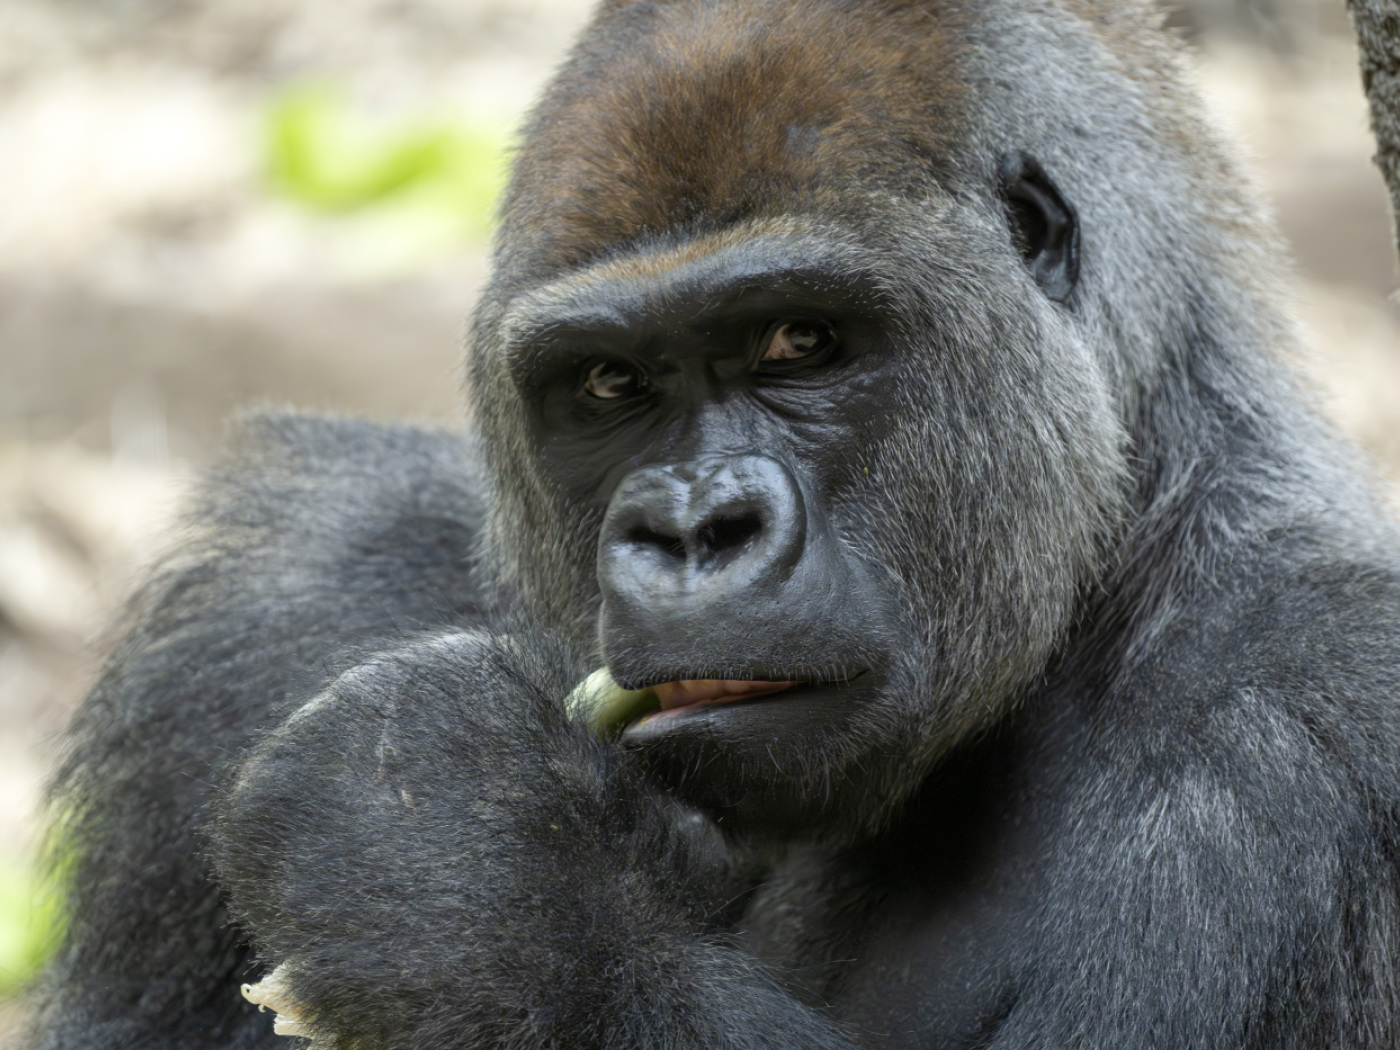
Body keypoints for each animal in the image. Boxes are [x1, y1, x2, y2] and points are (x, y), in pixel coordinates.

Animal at [26, 0, 1400, 1046]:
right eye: (607, 385)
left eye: (799, 342)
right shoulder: (291, 585)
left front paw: (461, 867)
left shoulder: (1319, 715)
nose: (694, 528)